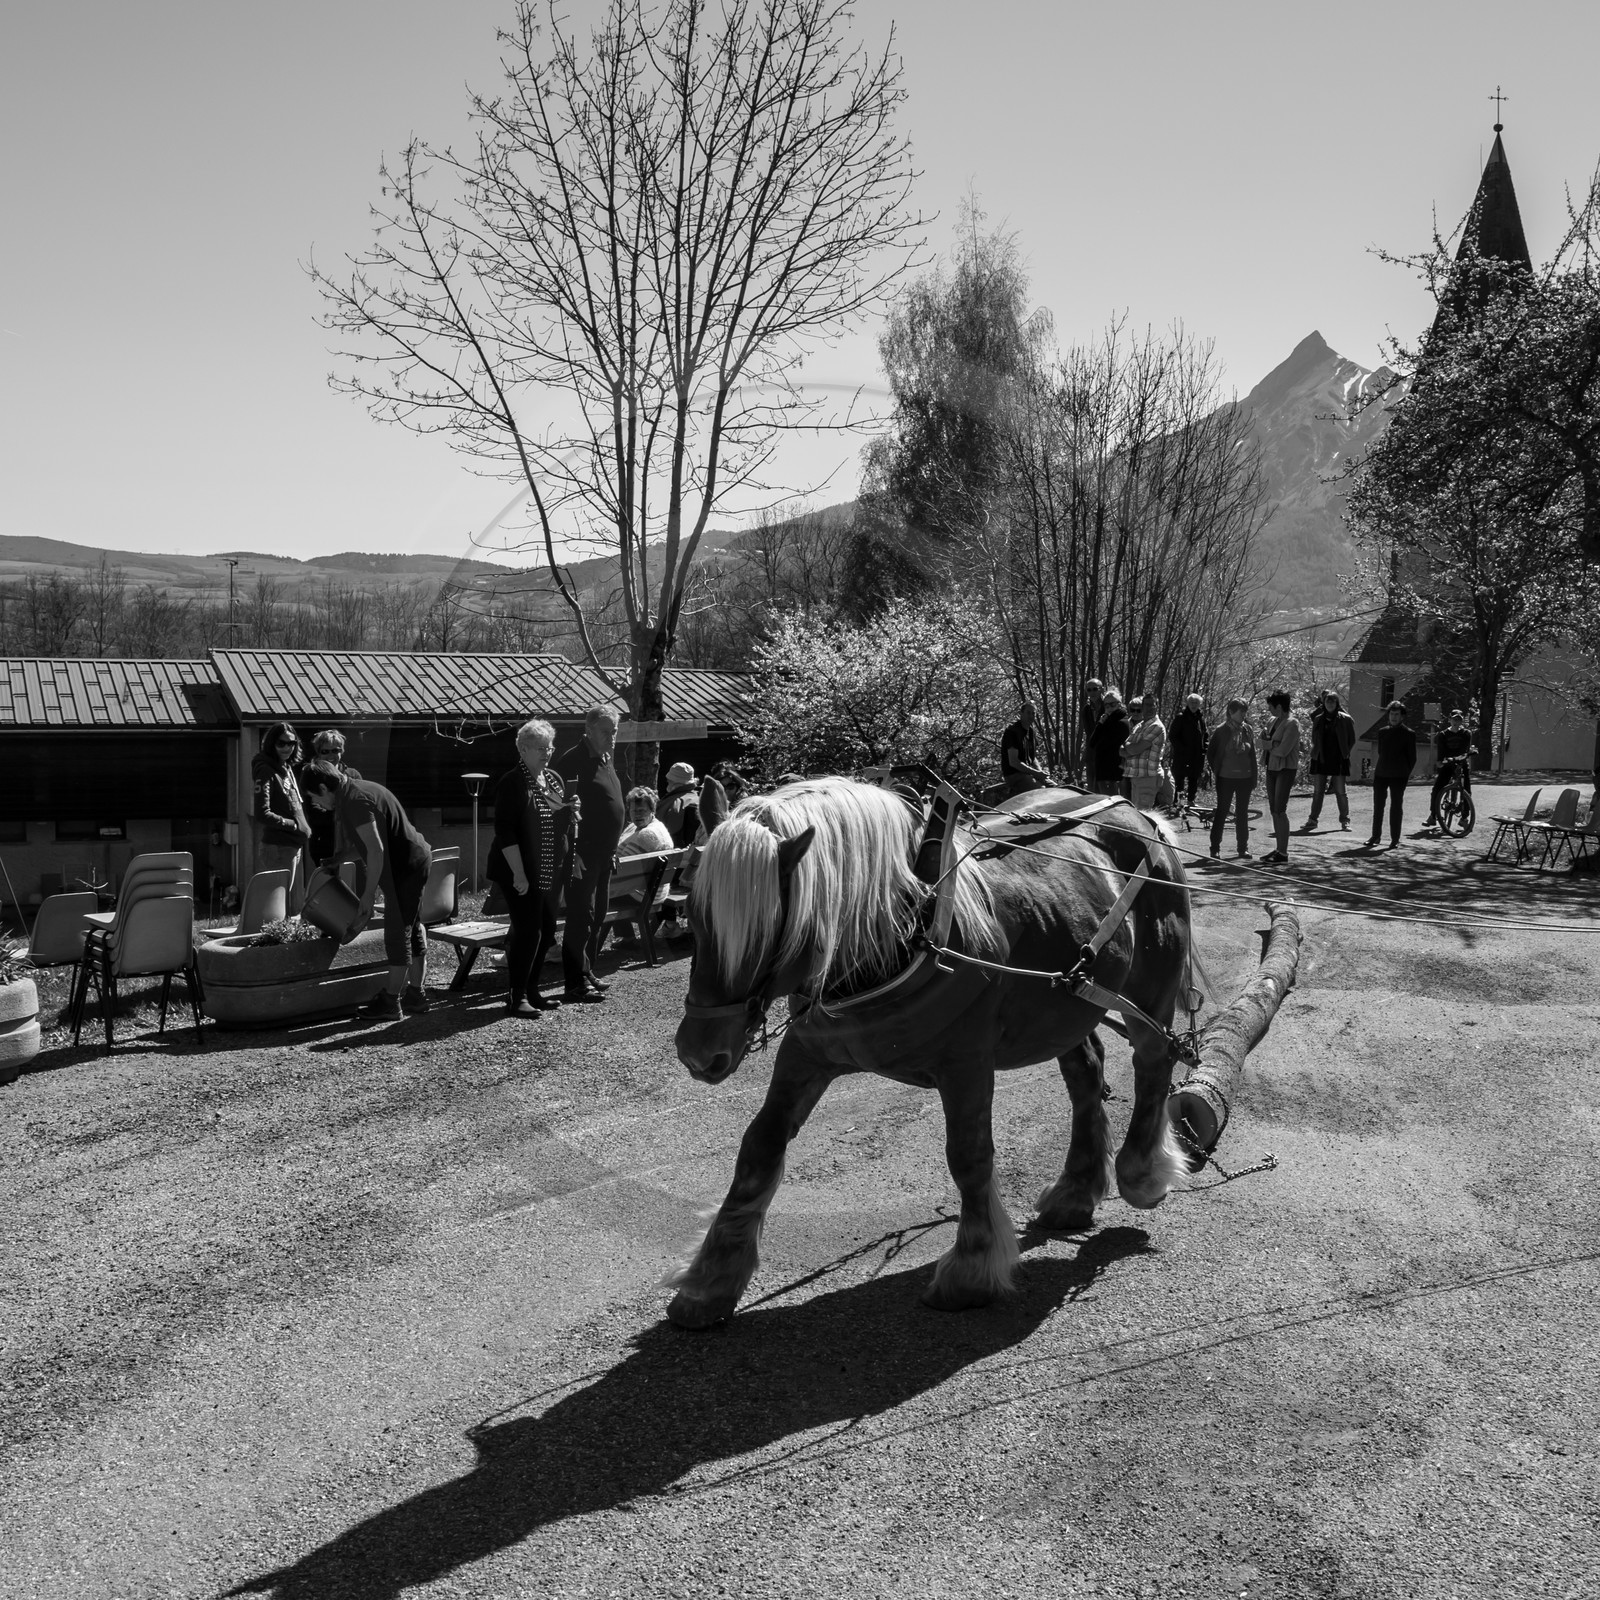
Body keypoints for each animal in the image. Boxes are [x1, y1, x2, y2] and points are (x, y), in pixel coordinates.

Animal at [668, 775, 1196, 1328]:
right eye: (693, 913)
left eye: (768, 928)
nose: (698, 1053)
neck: (905, 932)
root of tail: (1140, 815)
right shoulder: (806, 1052)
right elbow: (760, 1145)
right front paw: (712, 1278)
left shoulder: (966, 1062)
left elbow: (968, 1155)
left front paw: (972, 1268)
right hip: (1066, 1005)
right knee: (1086, 1075)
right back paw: (1076, 1191)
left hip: (1149, 993)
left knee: (1153, 1062)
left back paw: (1141, 1172)